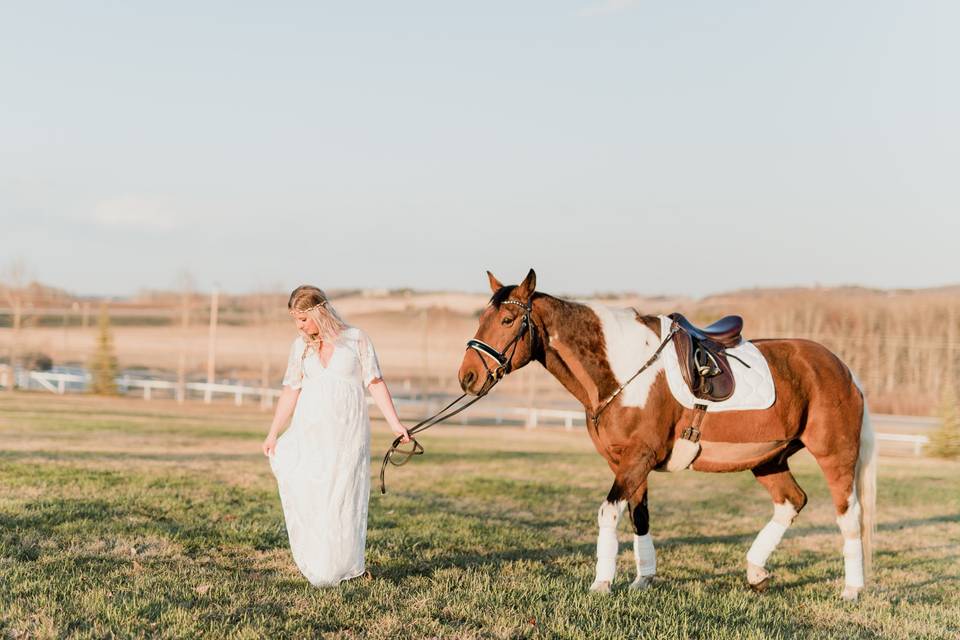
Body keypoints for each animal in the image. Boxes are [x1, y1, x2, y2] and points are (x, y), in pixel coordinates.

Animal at [458, 268, 876, 600]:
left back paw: (852, 588)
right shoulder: (626, 463)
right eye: (483, 317)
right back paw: (756, 571)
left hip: (834, 455)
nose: (468, 377)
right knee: (792, 501)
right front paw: (643, 579)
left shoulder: (638, 458)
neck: (623, 371)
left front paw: (601, 583)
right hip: (768, 458)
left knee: (848, 515)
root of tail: (844, 370)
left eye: (508, 320)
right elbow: (639, 516)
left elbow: (609, 513)